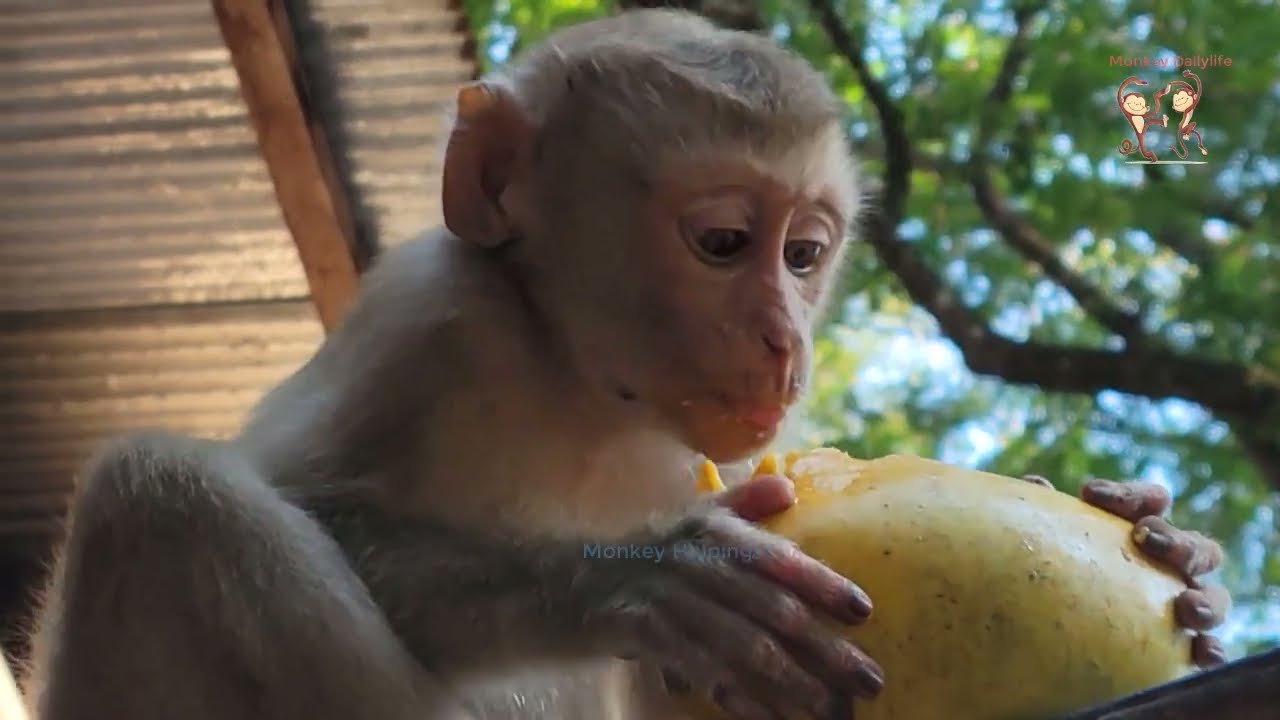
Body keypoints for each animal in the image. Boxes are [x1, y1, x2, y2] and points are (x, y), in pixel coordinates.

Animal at [20, 9, 1230, 720]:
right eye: (723, 244)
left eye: (804, 257)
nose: (784, 339)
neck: (577, 383)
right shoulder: (428, 320)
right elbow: (325, 509)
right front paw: (632, 581)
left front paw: (1179, 548)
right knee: (165, 495)